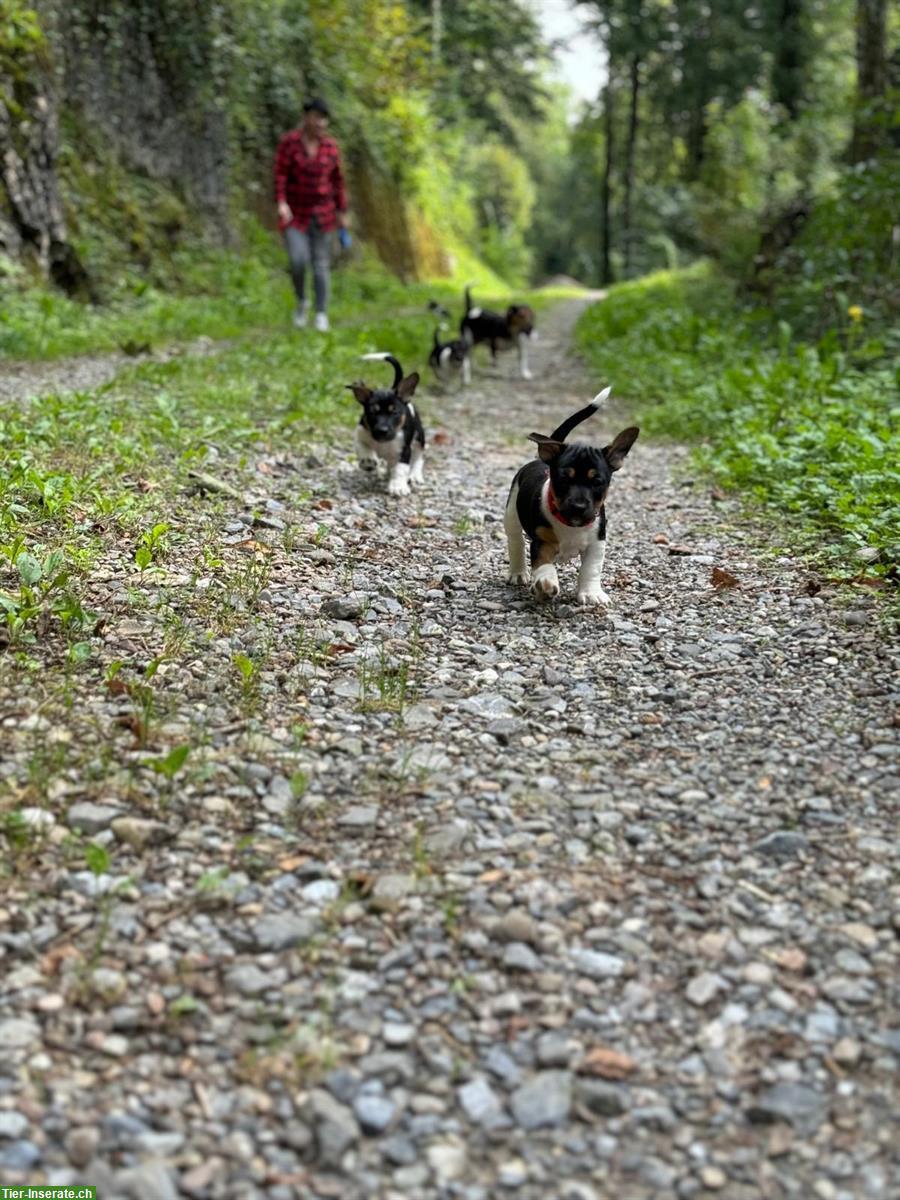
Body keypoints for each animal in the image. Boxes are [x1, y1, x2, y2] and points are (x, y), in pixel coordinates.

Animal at [348, 350, 427, 496]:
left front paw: (398, 486)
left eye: (394, 412)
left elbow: (401, 468)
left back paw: (415, 475)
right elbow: (363, 447)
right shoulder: (360, 434)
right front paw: (368, 460)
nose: (382, 431)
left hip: (420, 437)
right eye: (373, 412)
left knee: (418, 457)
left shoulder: (404, 449)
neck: (383, 443)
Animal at [504, 388, 638, 604]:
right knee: (515, 540)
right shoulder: (542, 542)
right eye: (564, 480)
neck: (571, 524)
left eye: (597, 482)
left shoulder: (597, 542)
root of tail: (540, 460)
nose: (578, 506)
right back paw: (517, 573)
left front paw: (591, 593)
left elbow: (591, 568)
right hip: (511, 514)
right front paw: (546, 581)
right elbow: (543, 564)